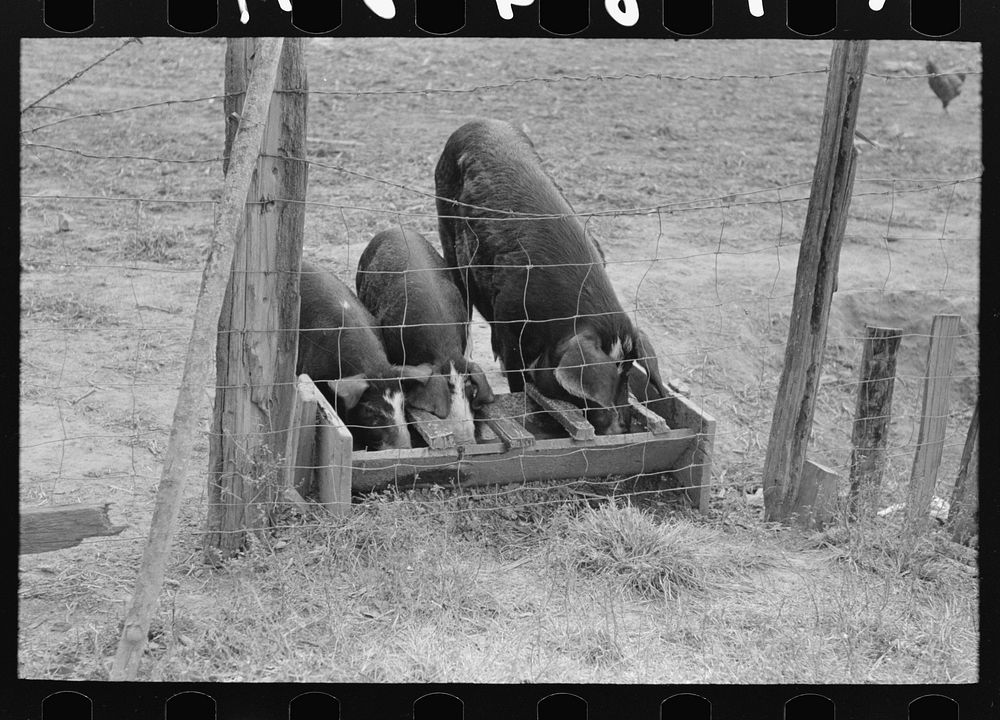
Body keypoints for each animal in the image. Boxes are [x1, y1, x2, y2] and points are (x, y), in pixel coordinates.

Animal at [434, 118, 644, 434]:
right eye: (584, 393)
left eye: (628, 372)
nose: (621, 429)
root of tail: (475, 122)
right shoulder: (509, 320)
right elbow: (518, 377)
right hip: (446, 229)